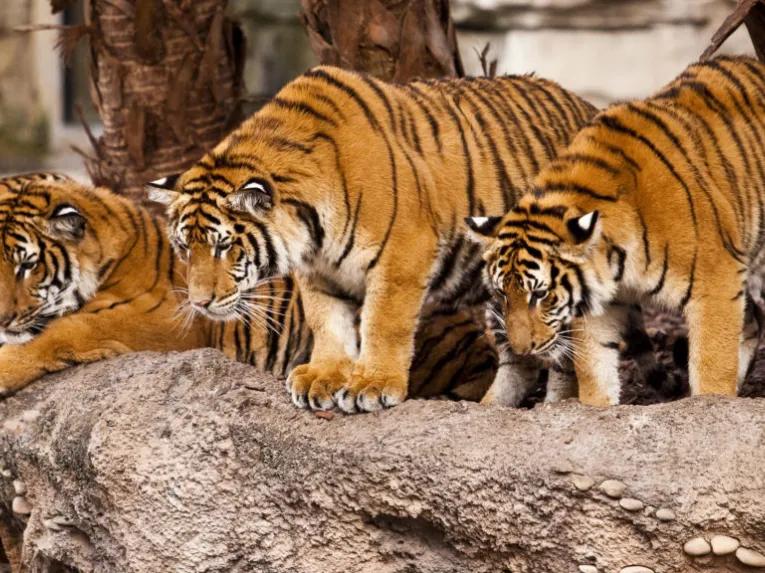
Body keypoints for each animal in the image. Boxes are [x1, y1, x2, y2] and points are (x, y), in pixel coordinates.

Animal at [148, 64, 602, 413]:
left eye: (224, 246)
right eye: (185, 247)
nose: (199, 303)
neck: (312, 224)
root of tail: (590, 106)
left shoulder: (403, 255)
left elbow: (384, 323)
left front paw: (373, 384)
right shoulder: (318, 272)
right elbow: (327, 322)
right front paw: (323, 378)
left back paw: (561, 406)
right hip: (503, 292)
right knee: (518, 358)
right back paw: (492, 408)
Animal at [467, 55, 765, 406]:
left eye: (540, 294)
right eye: (502, 293)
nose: (523, 350)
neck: (617, 260)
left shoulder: (716, 282)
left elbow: (712, 364)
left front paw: (712, 401)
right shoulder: (597, 308)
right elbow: (596, 370)